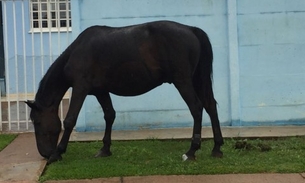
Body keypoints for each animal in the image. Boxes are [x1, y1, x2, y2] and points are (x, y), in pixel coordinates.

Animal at [26, 20, 223, 164]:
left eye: (37, 121)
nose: (44, 153)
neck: (77, 52)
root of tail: (191, 30)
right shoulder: (101, 91)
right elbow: (109, 115)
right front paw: (105, 149)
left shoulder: (80, 88)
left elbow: (69, 120)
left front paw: (58, 153)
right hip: (197, 80)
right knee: (210, 106)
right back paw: (217, 148)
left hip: (183, 82)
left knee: (197, 108)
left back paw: (191, 151)